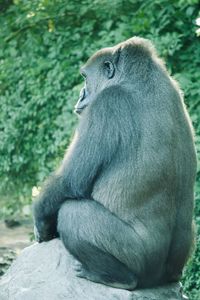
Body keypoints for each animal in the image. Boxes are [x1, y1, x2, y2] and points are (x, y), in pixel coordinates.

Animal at [33, 36, 197, 290]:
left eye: (85, 78)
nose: (81, 95)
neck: (139, 76)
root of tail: (158, 279)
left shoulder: (106, 104)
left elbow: (70, 182)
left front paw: (41, 222)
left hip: (142, 262)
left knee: (72, 213)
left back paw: (115, 277)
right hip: (177, 267)